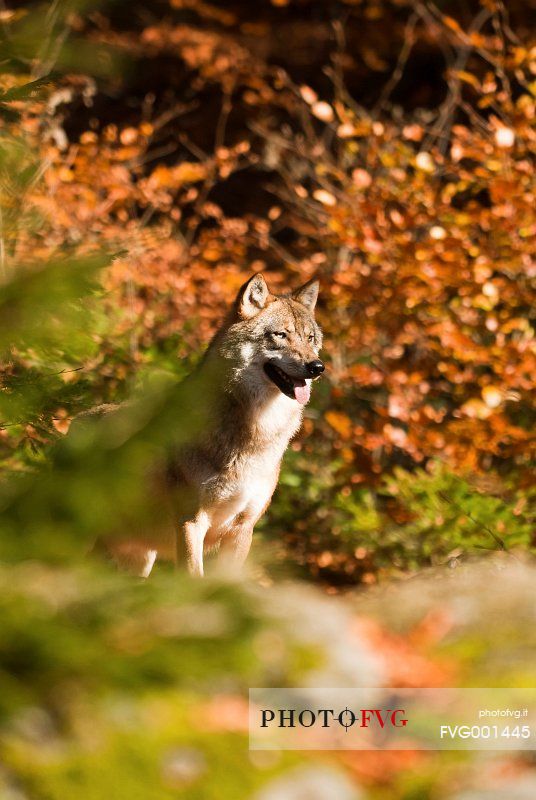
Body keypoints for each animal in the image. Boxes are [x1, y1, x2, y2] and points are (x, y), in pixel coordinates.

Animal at [97, 274, 322, 576]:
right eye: (280, 335)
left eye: (310, 338)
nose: (317, 367)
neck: (253, 431)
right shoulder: (191, 521)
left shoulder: (242, 528)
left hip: (140, 560)